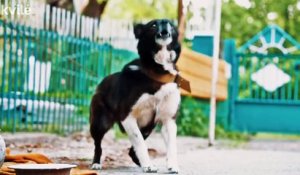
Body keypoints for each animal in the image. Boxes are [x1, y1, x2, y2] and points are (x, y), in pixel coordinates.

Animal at [89, 19, 190, 174]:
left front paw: (172, 165)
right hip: (100, 123)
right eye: (153, 25)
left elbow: (171, 145)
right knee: (98, 144)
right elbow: (140, 143)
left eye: (171, 26)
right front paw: (148, 165)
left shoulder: (168, 120)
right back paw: (96, 163)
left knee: (131, 151)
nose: (165, 23)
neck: (158, 72)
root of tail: (100, 84)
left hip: (148, 127)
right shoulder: (128, 117)